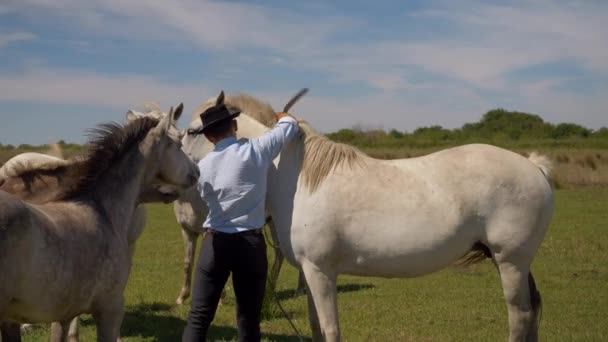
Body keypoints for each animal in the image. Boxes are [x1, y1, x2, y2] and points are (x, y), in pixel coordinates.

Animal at [183, 94, 552, 342]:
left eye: (190, 131)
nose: (186, 174)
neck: (300, 178)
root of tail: (533, 166)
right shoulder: (311, 272)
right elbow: (317, 327)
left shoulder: (320, 271)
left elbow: (330, 329)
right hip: (512, 262)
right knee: (532, 310)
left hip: (511, 261)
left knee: (519, 315)